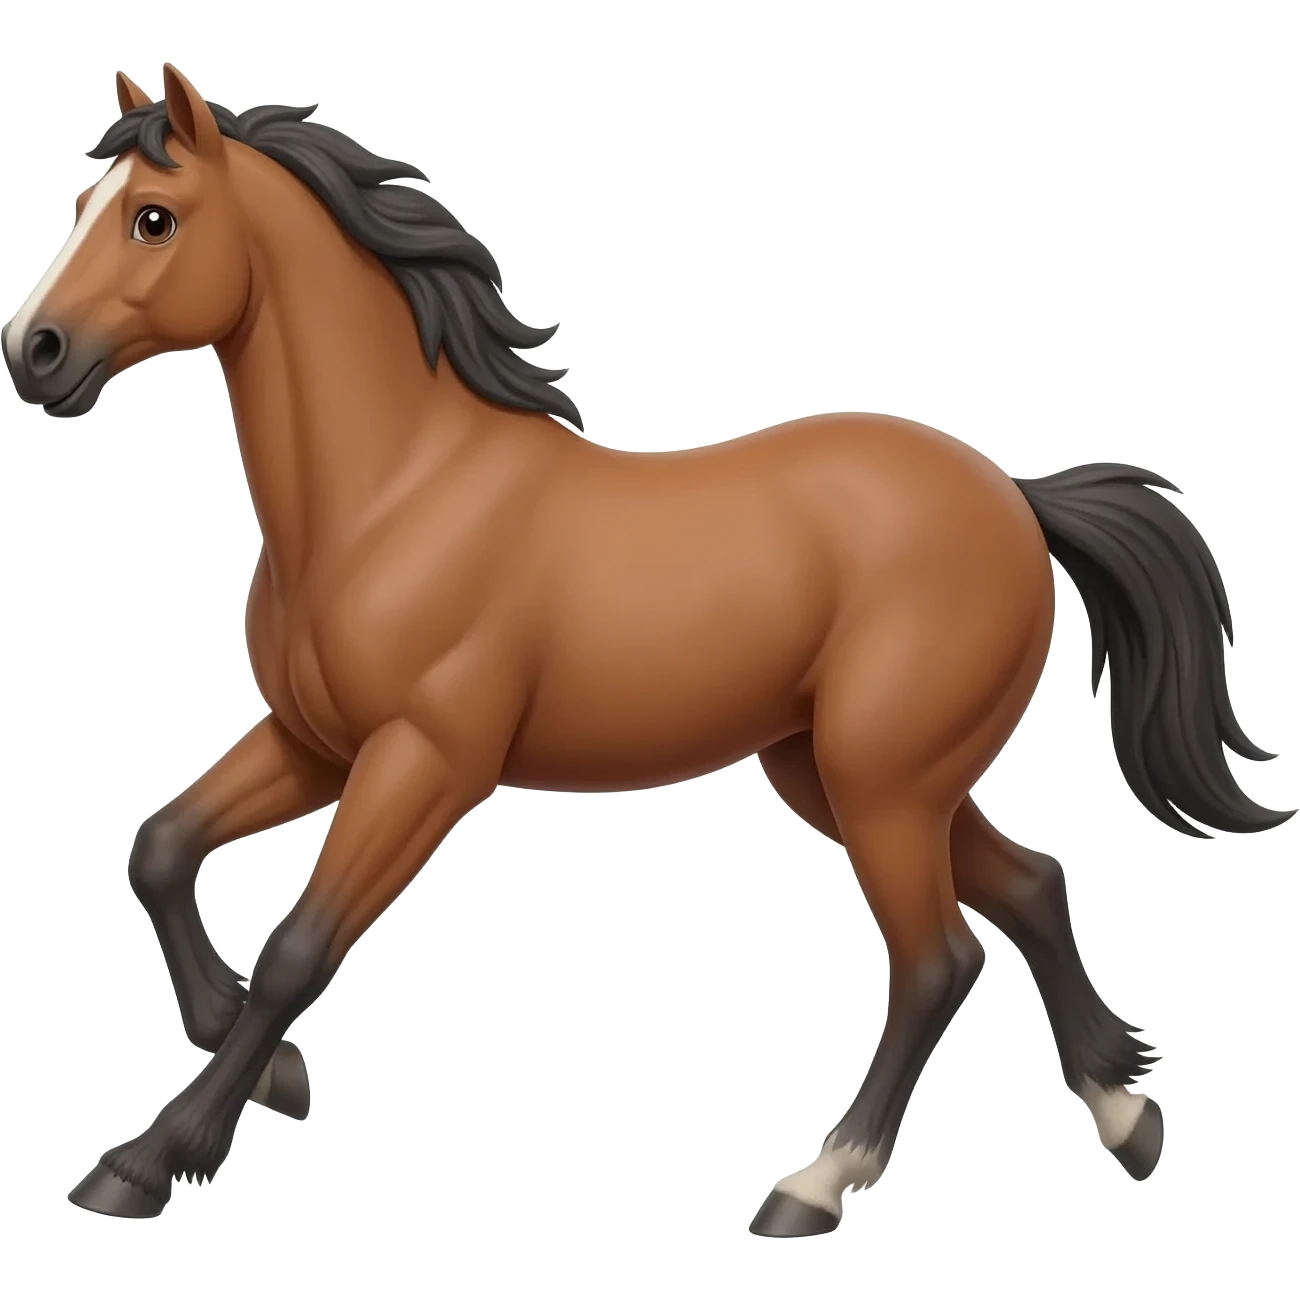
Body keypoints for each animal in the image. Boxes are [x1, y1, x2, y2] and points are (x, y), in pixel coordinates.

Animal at [5, 64, 1290, 1230]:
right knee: (1031, 884)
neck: (394, 496)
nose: (35, 351)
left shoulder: (426, 759)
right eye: (82, 203)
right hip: (845, 772)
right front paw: (264, 1066)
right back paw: (1125, 1116)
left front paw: (145, 1162)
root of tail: (1016, 498)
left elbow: (299, 945)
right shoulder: (316, 742)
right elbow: (161, 847)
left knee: (936, 960)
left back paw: (811, 1187)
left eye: (153, 216)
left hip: (882, 779)